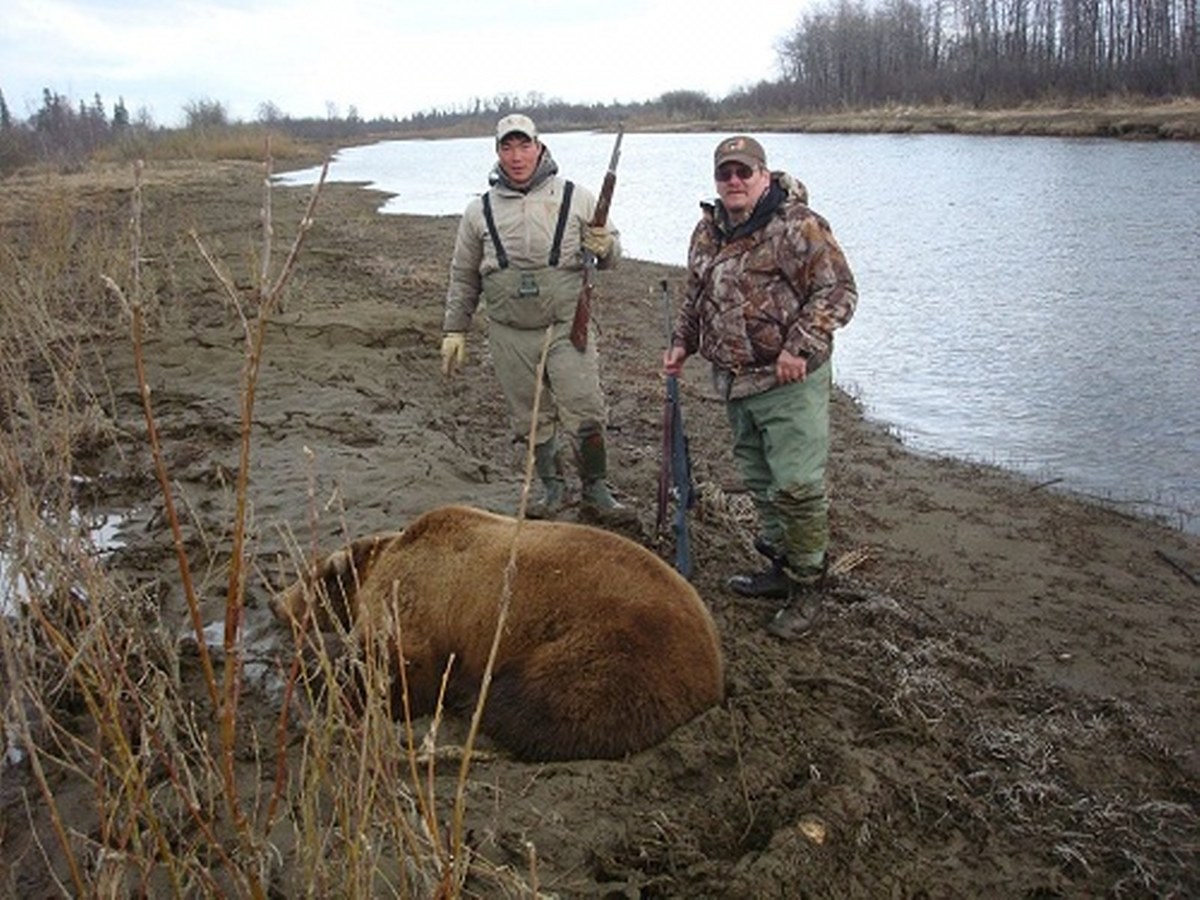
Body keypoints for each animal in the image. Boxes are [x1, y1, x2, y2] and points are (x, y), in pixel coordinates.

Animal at [272, 504, 720, 763]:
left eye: (307, 578)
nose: (275, 602)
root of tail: (715, 674)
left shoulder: (417, 605)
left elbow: (397, 672)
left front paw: (317, 666)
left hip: (617, 647)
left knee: (540, 700)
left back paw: (473, 702)